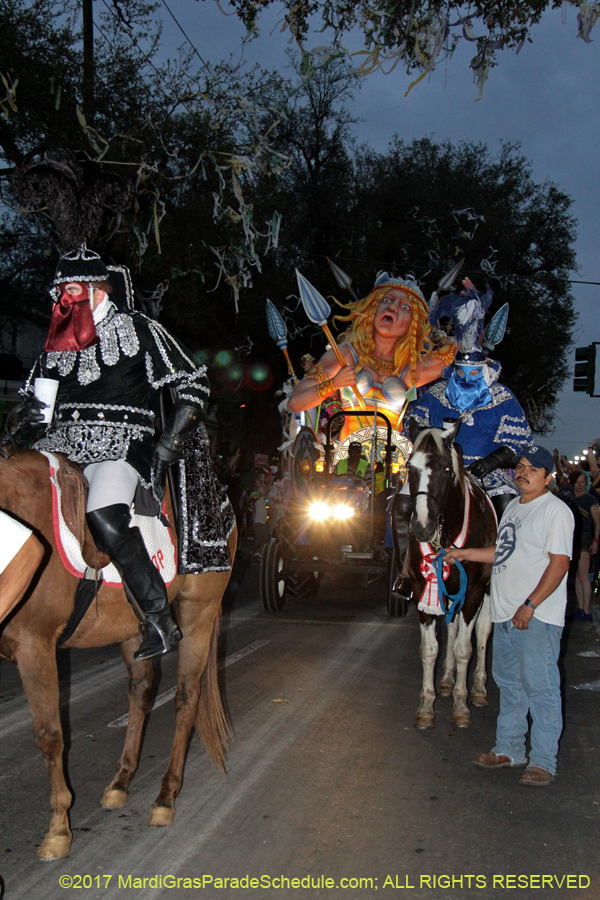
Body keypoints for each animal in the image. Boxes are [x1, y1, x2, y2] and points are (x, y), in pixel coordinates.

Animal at [0, 450, 237, 856]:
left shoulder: (35, 645)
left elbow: (49, 734)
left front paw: (58, 829)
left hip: (199, 613)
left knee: (186, 700)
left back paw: (165, 797)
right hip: (131, 626)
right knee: (141, 692)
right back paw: (121, 781)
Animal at [408, 422, 496, 732]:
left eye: (446, 468)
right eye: (409, 467)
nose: (422, 527)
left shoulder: (474, 592)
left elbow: (464, 648)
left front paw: (461, 706)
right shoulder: (424, 588)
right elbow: (430, 648)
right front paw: (426, 707)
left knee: (482, 633)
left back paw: (478, 690)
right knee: (452, 627)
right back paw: (446, 680)